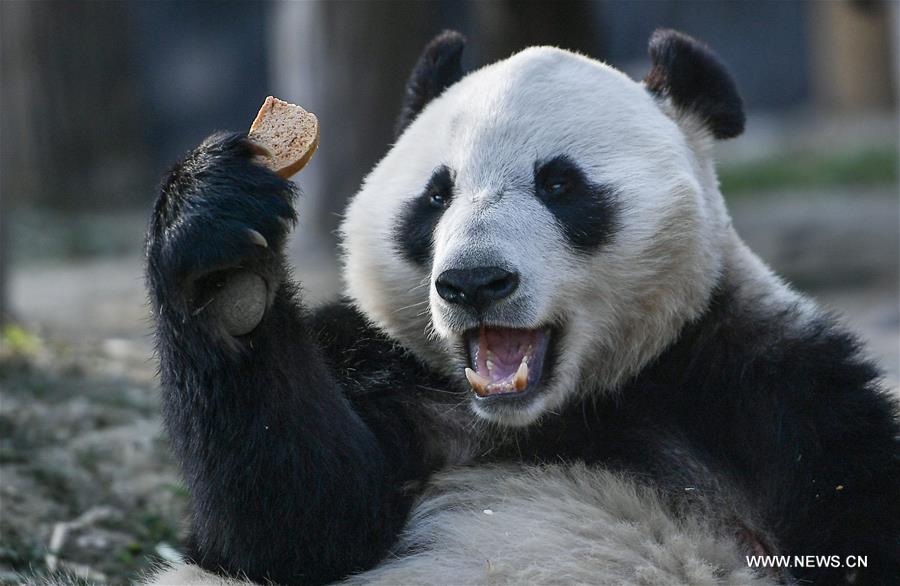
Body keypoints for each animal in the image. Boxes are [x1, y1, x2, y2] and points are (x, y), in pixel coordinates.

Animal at [144, 30, 900, 586]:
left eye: (560, 184)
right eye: (436, 195)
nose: (474, 282)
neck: (564, 410)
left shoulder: (775, 395)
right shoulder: (380, 368)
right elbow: (296, 529)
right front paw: (222, 265)